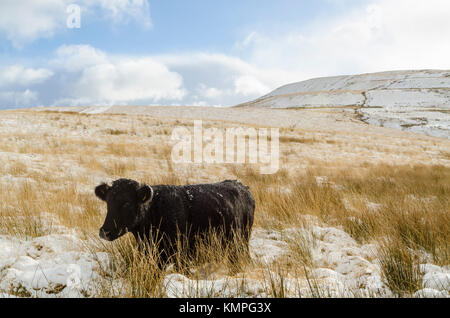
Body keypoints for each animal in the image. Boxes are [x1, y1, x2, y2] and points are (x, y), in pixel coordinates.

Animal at [94, 179, 253, 266]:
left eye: (126, 203)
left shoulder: (181, 256)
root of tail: (241, 185)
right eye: (108, 202)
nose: (104, 232)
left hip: (240, 243)